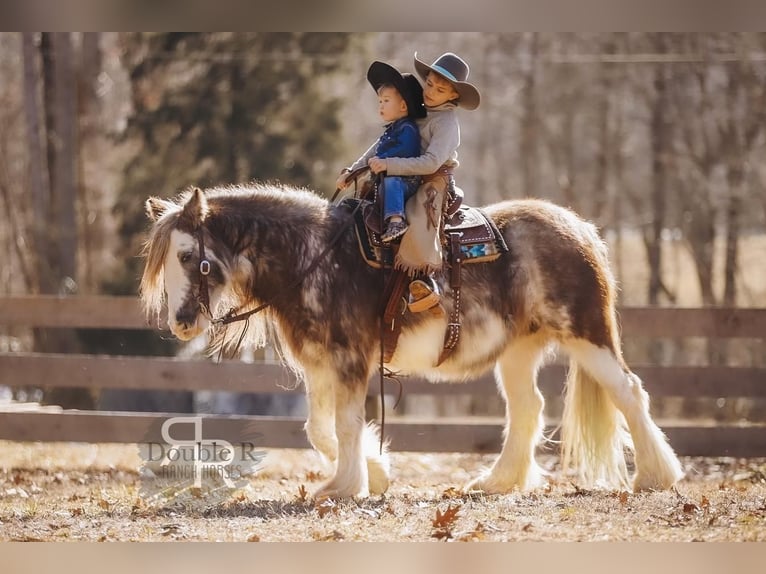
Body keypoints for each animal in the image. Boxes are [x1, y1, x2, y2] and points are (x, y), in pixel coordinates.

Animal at [141, 184, 688, 500]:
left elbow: (343, 426)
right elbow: (320, 430)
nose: (182, 322)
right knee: (528, 409)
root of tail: (582, 229)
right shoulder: (321, 366)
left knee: (628, 392)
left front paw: (344, 487)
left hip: (586, 335)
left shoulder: (349, 361)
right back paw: (497, 482)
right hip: (518, 352)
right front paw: (374, 475)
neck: (313, 258)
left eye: (188, 256)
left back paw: (656, 476)